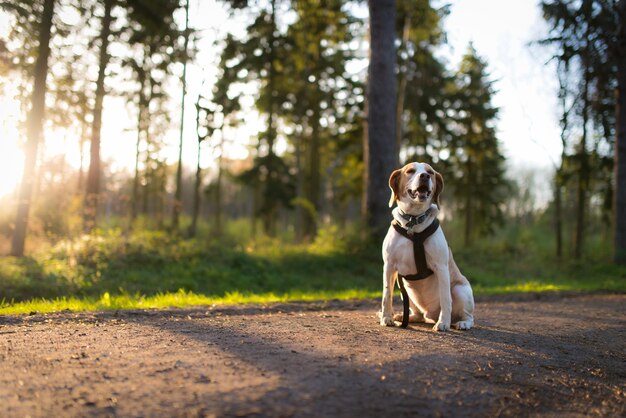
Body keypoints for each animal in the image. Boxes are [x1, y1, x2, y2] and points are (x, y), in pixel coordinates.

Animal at [376, 162, 472, 332]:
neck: (413, 222)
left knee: (468, 316)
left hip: (461, 290)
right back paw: (403, 316)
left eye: (430, 172)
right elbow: (386, 295)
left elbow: (445, 299)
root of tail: (430, 315)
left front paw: (443, 323)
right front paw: (386, 317)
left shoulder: (441, 267)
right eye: (410, 171)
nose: (425, 176)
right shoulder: (389, 266)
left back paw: (462, 323)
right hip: (406, 290)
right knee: (418, 314)